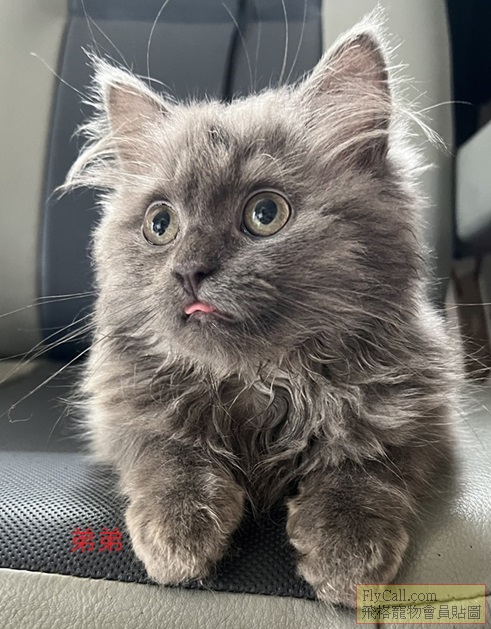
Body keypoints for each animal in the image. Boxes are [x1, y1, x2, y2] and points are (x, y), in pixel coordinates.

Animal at [64, 13, 461, 607]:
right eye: (160, 224)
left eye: (266, 214)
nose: (189, 271)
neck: (262, 378)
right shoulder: (122, 413)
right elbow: (166, 451)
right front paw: (179, 534)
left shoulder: (422, 418)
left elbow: (367, 463)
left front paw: (345, 551)